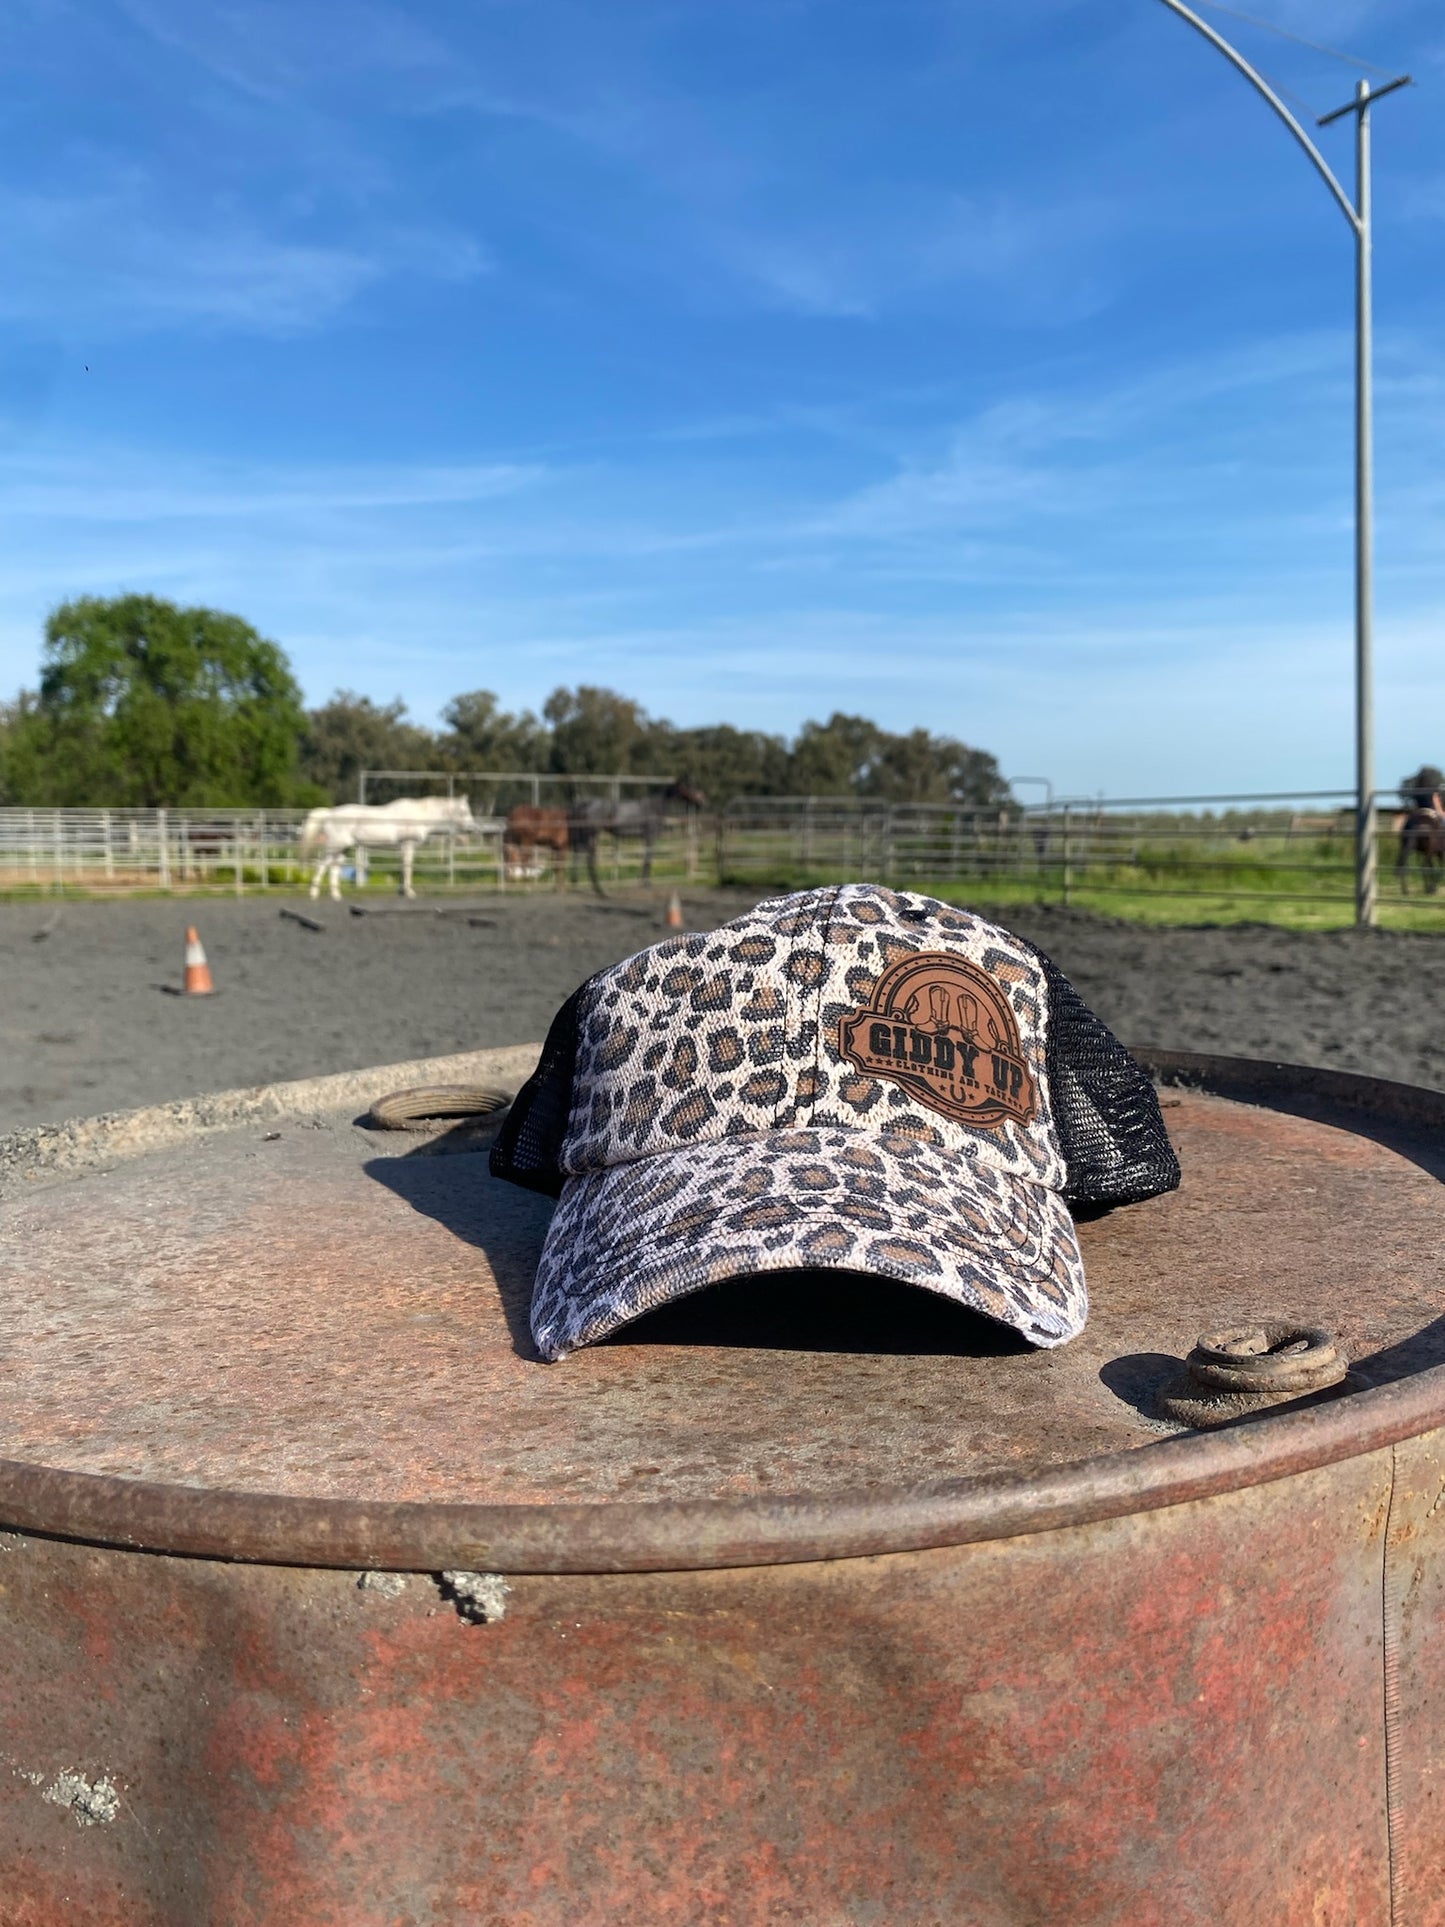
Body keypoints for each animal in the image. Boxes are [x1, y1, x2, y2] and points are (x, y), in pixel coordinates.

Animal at [300, 793, 481, 897]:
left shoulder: (403, 847)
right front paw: (409, 892)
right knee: (322, 865)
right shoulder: (408, 845)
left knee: (333, 868)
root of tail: (329, 813)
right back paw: (314, 893)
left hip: (343, 849)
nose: (472, 829)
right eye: (464, 811)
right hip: (334, 847)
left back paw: (336, 895)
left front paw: (401, 891)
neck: (419, 815)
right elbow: (407, 868)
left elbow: (402, 867)